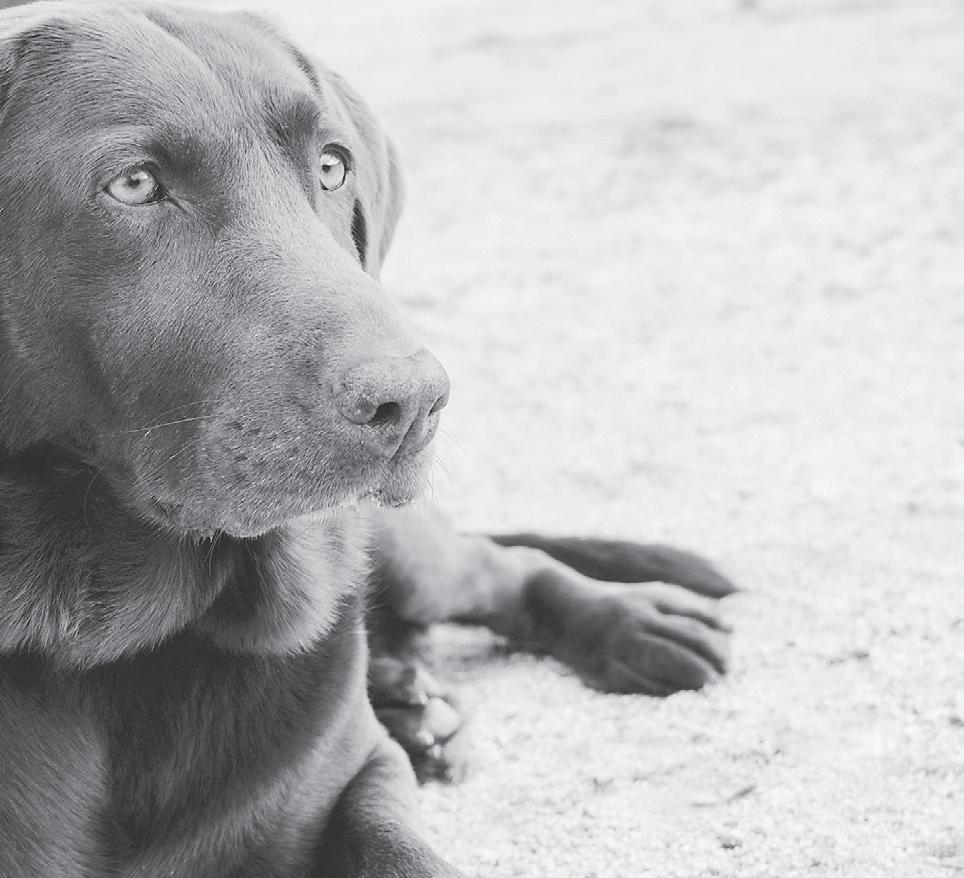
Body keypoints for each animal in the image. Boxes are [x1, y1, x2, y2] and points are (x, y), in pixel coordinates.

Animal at [0, 2, 734, 874]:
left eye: (331, 167)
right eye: (134, 183)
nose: (414, 400)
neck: (115, 644)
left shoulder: (356, 776)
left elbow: (402, 847)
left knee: (500, 567)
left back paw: (629, 625)